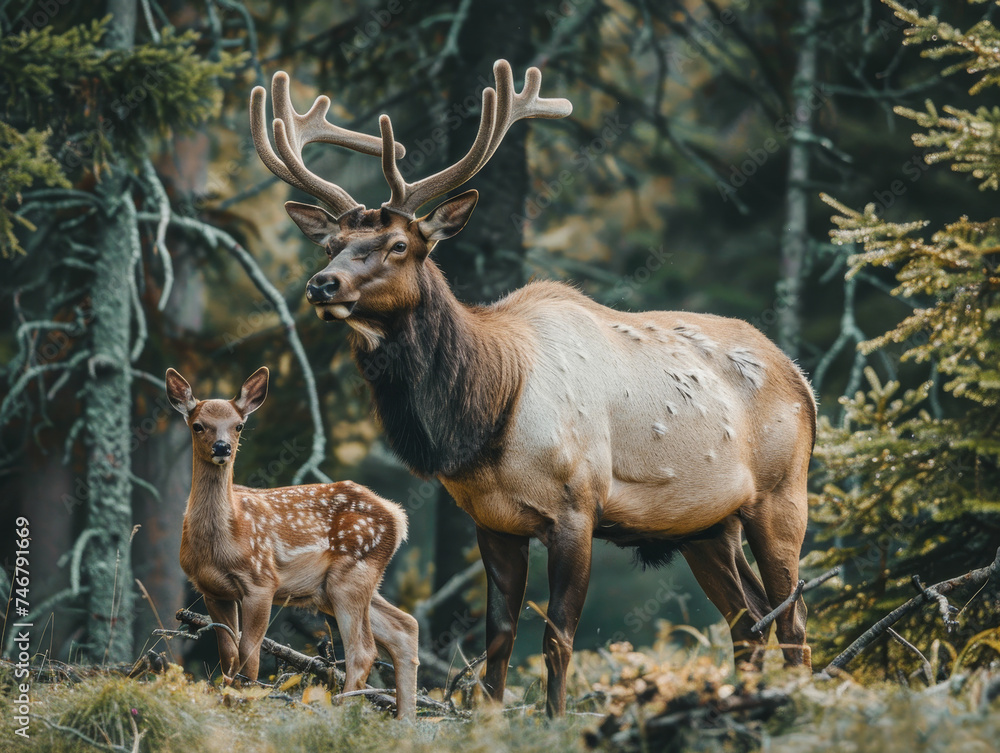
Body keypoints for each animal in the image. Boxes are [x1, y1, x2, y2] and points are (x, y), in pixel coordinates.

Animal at [252, 61, 820, 712]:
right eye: (331, 244)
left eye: (399, 245)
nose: (323, 283)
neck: (489, 415)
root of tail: (803, 381)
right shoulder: (492, 521)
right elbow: (499, 638)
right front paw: (491, 717)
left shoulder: (578, 507)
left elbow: (558, 636)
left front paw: (553, 718)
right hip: (704, 524)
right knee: (748, 618)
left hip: (781, 493)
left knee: (793, 617)